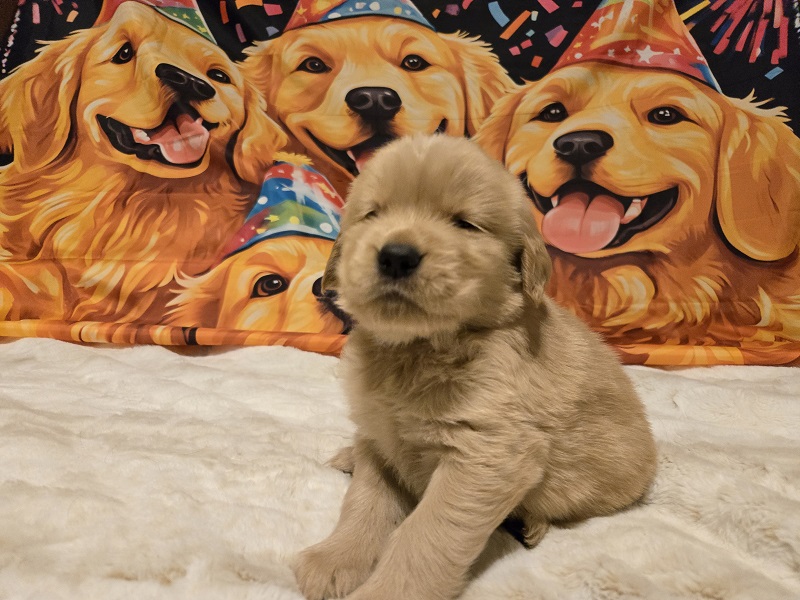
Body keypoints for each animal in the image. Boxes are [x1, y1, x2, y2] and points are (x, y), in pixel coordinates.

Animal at [294, 136, 656, 600]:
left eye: (465, 224)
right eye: (373, 214)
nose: (396, 256)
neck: (419, 348)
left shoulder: (486, 454)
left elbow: (426, 534)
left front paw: (388, 590)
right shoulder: (379, 436)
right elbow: (364, 503)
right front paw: (335, 559)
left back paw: (528, 521)